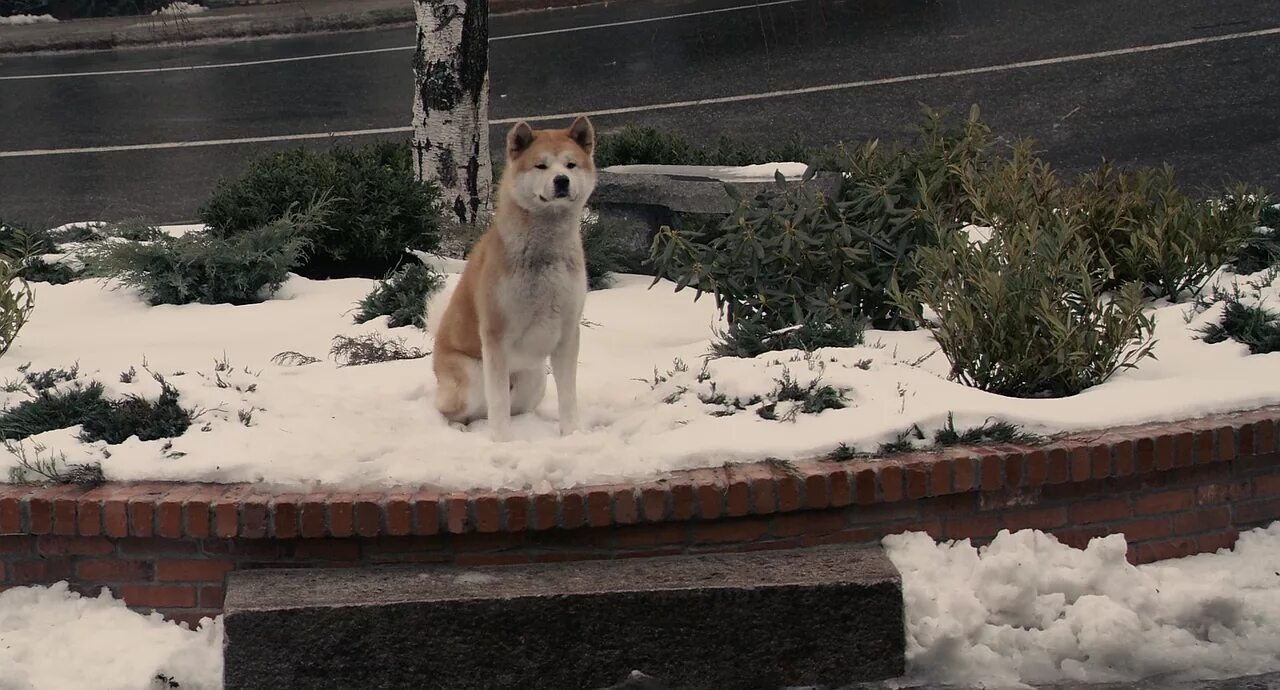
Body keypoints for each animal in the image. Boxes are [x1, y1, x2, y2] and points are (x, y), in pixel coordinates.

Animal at [424, 117, 593, 442]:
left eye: (571, 164)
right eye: (541, 165)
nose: (561, 180)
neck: (544, 256)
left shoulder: (568, 332)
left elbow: (568, 395)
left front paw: (572, 434)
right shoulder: (495, 336)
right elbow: (498, 403)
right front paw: (503, 443)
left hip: (534, 380)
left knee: (514, 408)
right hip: (471, 380)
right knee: (456, 410)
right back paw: (460, 429)